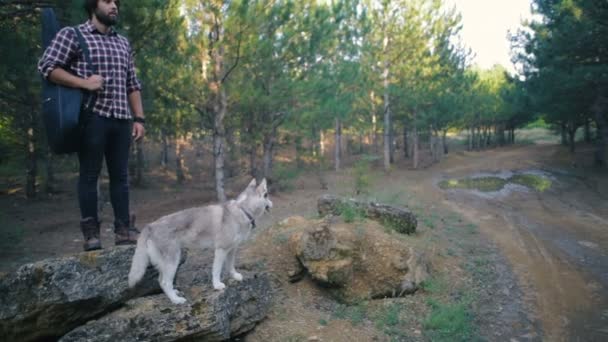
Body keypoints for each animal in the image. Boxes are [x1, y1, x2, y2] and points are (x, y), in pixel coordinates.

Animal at [127, 178, 272, 304]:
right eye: (266, 195)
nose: (272, 203)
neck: (242, 210)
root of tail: (150, 225)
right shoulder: (221, 250)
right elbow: (216, 270)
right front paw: (217, 285)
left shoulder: (232, 249)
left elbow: (230, 266)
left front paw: (235, 276)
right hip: (173, 260)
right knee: (165, 282)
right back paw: (176, 300)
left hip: (166, 263)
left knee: (161, 280)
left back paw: (174, 293)